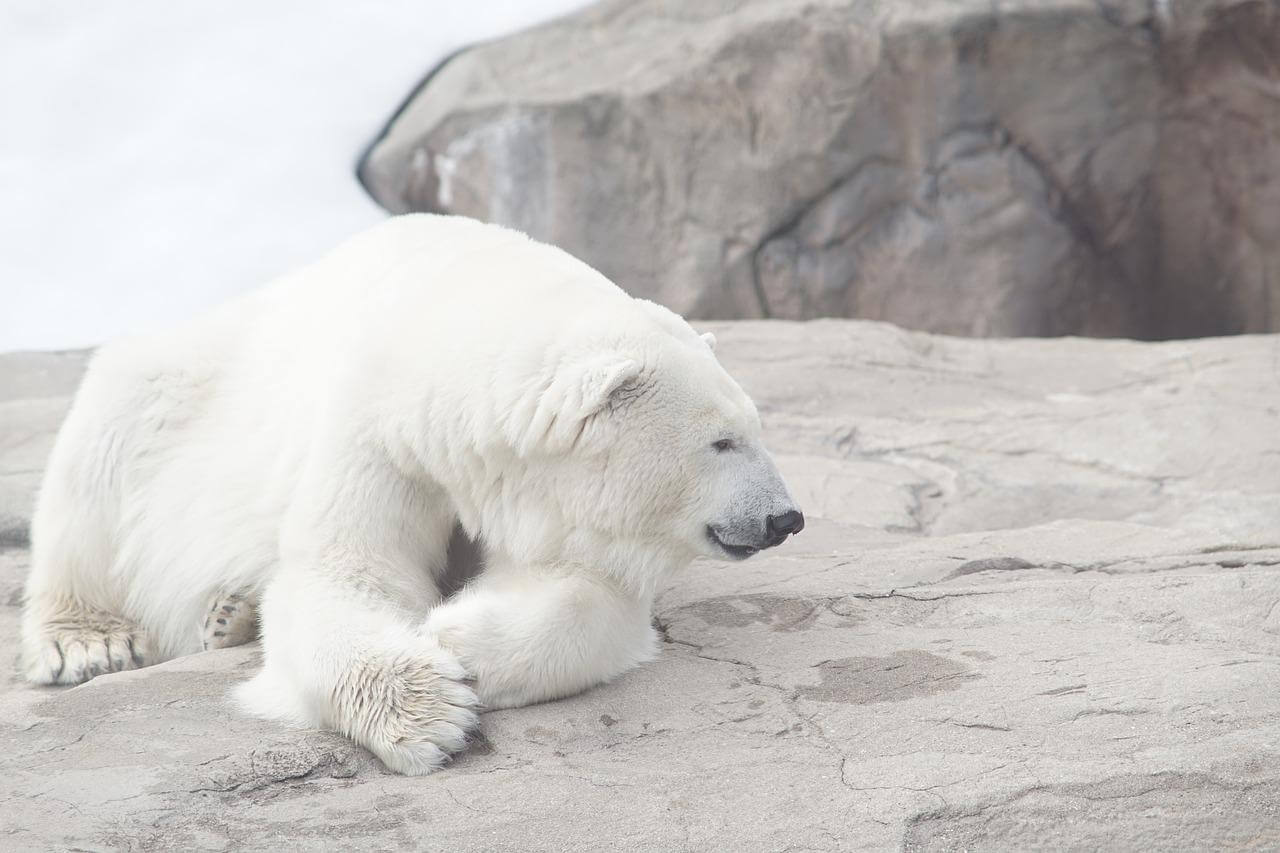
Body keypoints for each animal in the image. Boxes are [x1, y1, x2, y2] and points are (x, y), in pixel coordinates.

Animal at [20, 214, 804, 774]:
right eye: (722, 441)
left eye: (756, 427)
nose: (785, 517)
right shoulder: (380, 431)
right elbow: (345, 572)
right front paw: (430, 709)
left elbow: (589, 591)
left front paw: (457, 636)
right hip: (176, 390)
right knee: (101, 456)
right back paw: (89, 641)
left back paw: (229, 614)